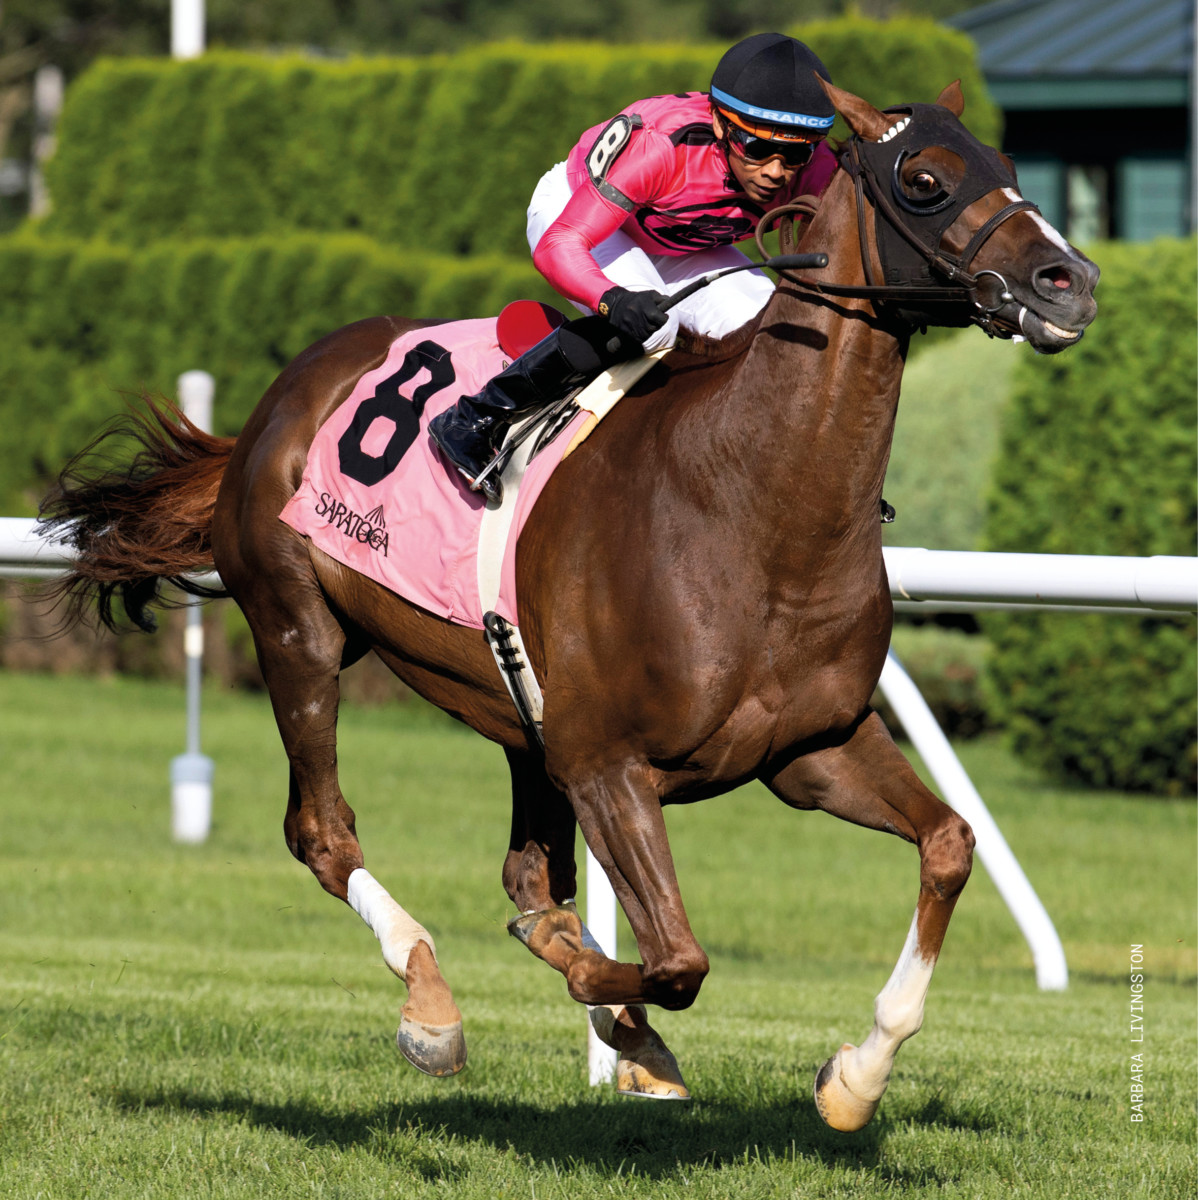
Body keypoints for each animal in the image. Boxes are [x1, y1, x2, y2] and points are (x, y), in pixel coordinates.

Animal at [40, 80, 1098, 1130]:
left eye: (1007, 164)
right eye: (923, 179)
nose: (1070, 281)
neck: (760, 508)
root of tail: (288, 390)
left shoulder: (812, 748)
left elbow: (949, 844)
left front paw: (853, 1076)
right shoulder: (607, 762)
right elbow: (677, 958)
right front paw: (586, 979)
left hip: (518, 711)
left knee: (519, 865)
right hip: (297, 629)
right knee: (322, 832)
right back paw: (432, 1004)